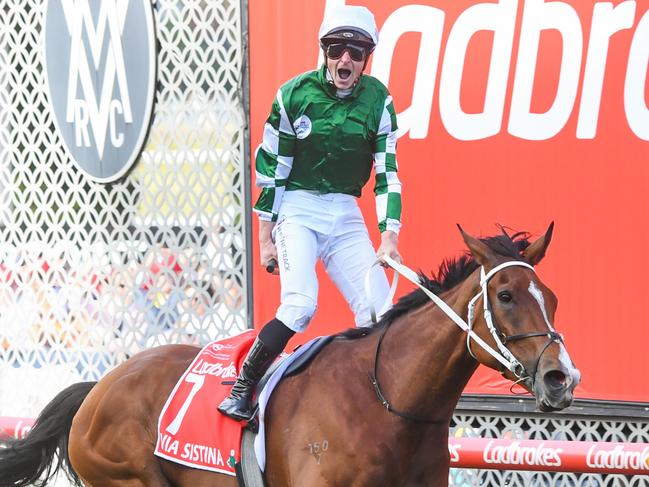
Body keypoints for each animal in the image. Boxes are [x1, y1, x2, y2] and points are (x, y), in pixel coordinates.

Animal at [0, 226, 576, 487]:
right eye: (506, 295)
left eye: (551, 296)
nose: (560, 378)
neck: (387, 401)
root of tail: (97, 388)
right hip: (126, 476)